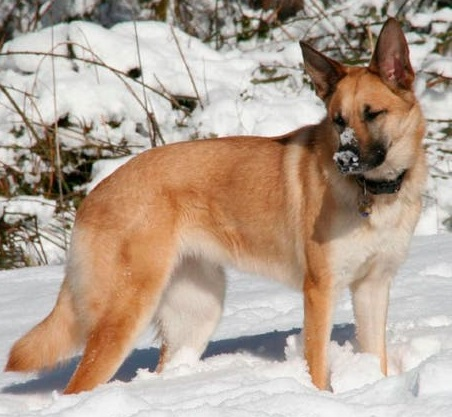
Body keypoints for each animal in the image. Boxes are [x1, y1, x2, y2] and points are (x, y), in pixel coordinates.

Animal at [5, 18, 426, 394]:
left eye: (373, 114)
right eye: (338, 121)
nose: (344, 161)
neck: (374, 191)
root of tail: (93, 195)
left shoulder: (373, 286)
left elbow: (377, 358)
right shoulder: (320, 291)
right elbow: (318, 367)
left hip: (198, 313)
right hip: (124, 314)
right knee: (77, 387)